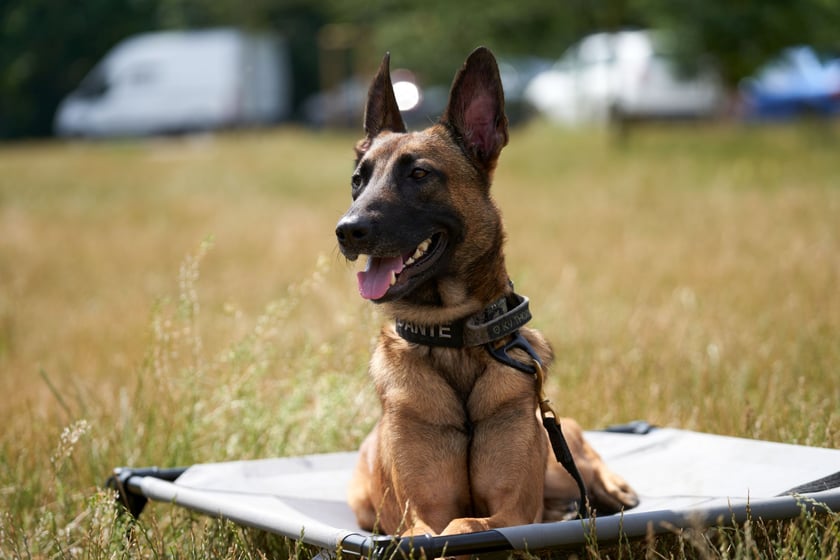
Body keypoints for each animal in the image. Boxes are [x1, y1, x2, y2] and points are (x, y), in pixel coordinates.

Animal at [334, 47, 636, 540]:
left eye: (419, 173)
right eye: (358, 180)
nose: (347, 231)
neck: (453, 340)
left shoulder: (510, 511)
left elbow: (464, 524)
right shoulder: (419, 518)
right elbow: (442, 528)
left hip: (562, 459)